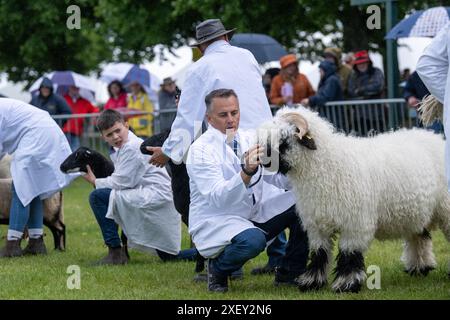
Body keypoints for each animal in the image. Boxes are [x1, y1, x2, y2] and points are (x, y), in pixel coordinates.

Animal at [256, 107, 450, 292]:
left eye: (284, 140)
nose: (261, 159)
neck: (325, 165)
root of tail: (433, 136)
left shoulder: (355, 224)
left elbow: (349, 253)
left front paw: (346, 285)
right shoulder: (317, 225)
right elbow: (319, 253)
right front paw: (311, 283)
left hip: (445, 209)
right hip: (416, 211)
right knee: (420, 236)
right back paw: (420, 268)